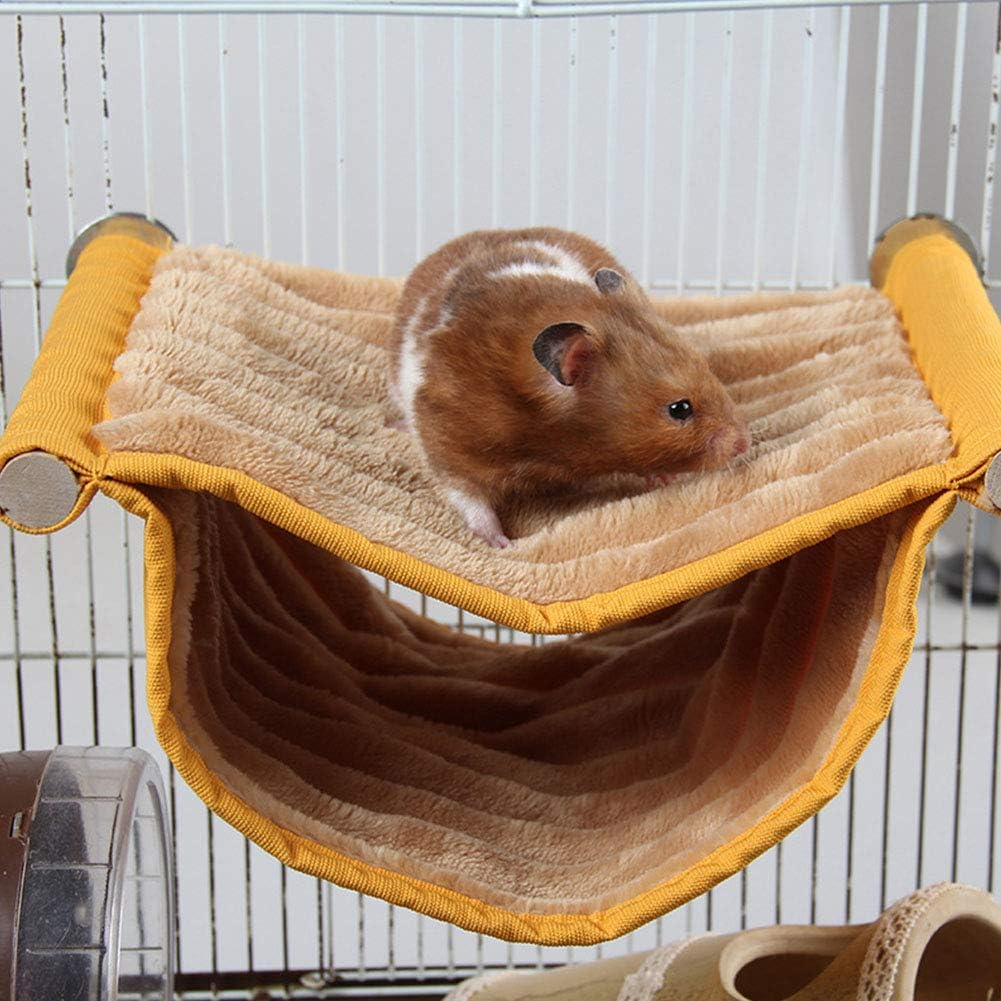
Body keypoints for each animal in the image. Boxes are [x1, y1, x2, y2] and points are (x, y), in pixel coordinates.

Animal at [390, 227, 750, 548]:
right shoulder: (448, 439)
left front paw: (664, 478)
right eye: (680, 409)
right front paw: (504, 544)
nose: (743, 443)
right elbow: (468, 497)